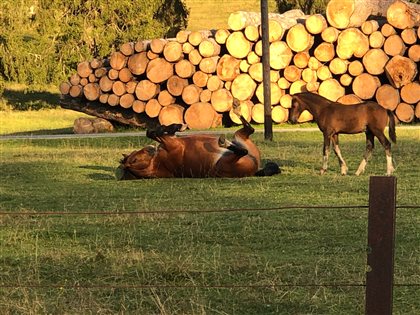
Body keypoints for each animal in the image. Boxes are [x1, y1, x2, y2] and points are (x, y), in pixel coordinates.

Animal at [115, 113, 278, 179]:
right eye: (134, 160)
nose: (150, 149)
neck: (157, 163)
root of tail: (254, 169)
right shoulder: (171, 143)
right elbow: (153, 133)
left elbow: (153, 132)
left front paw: (174, 126)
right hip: (229, 161)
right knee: (242, 149)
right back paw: (225, 141)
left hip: (240, 138)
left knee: (248, 131)